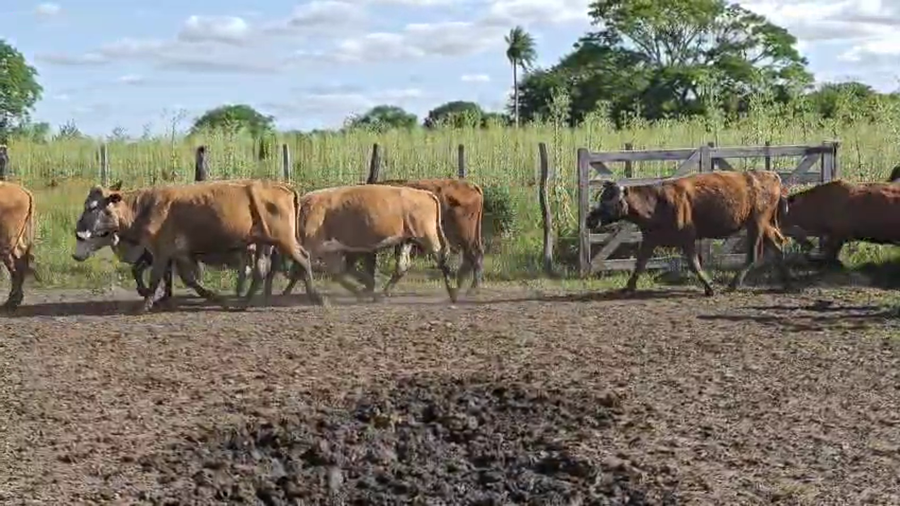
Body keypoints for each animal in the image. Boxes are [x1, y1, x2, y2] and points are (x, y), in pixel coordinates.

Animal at [72, 179, 322, 313]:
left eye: (92, 207)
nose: (79, 231)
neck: (145, 207)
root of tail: (283, 185)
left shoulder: (162, 251)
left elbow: (155, 279)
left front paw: (144, 305)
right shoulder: (180, 254)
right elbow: (190, 280)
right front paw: (217, 299)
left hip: (284, 239)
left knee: (303, 258)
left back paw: (316, 297)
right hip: (263, 242)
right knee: (261, 270)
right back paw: (244, 303)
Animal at [274, 184, 458, 302]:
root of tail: (425, 194)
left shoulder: (314, 246)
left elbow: (304, 268)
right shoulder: (330, 250)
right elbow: (336, 272)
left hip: (427, 235)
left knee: (442, 260)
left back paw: (453, 293)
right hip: (407, 239)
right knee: (402, 266)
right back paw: (382, 294)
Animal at [585, 170, 792, 296]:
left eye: (610, 200)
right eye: (602, 198)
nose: (590, 219)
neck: (658, 203)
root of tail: (770, 175)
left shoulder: (687, 238)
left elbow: (694, 264)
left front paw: (709, 287)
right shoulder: (650, 239)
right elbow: (640, 264)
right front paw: (628, 287)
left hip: (757, 222)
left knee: (754, 253)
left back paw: (733, 285)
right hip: (763, 224)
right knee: (778, 243)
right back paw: (786, 279)